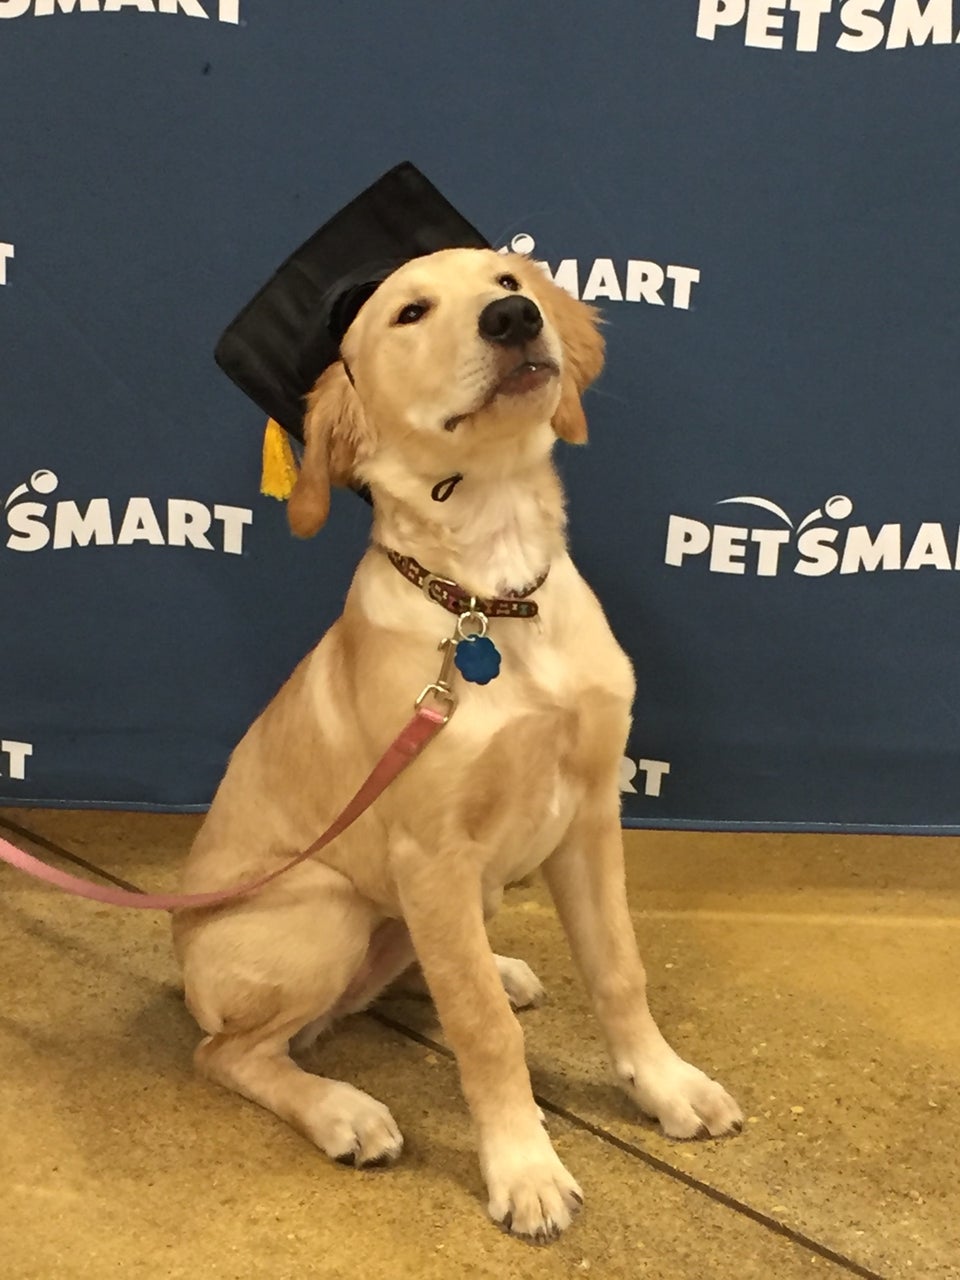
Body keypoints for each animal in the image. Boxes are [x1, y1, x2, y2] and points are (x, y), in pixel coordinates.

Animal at [173, 247, 742, 1242]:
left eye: (510, 277)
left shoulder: (591, 812)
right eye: (409, 313)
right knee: (234, 1051)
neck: (491, 593)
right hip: (325, 916)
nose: (513, 320)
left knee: (414, 975)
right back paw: (343, 1110)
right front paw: (525, 1168)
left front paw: (665, 1085)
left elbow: (618, 969)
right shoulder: (429, 852)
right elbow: (480, 1029)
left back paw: (499, 968)